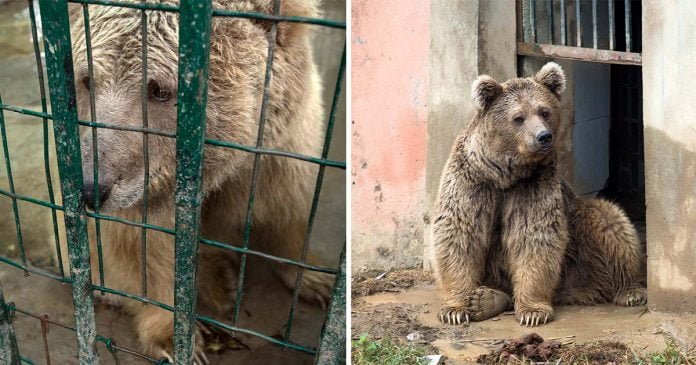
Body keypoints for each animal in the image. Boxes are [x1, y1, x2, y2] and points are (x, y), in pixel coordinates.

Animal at [57, 0, 334, 358]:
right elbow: (140, 251)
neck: (220, 168)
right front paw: (173, 338)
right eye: (88, 80)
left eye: (160, 90)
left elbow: (285, 208)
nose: (91, 188)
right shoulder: (142, 191)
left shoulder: (279, 150)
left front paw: (315, 279)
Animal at [432, 61, 648, 326]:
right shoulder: (473, 183)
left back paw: (630, 291)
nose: (543, 136)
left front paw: (532, 312)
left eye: (544, 111)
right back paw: (485, 300)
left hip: (579, 241)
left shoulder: (533, 186)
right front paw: (455, 308)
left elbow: (534, 238)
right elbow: (459, 234)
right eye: (518, 117)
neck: (504, 174)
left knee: (609, 221)